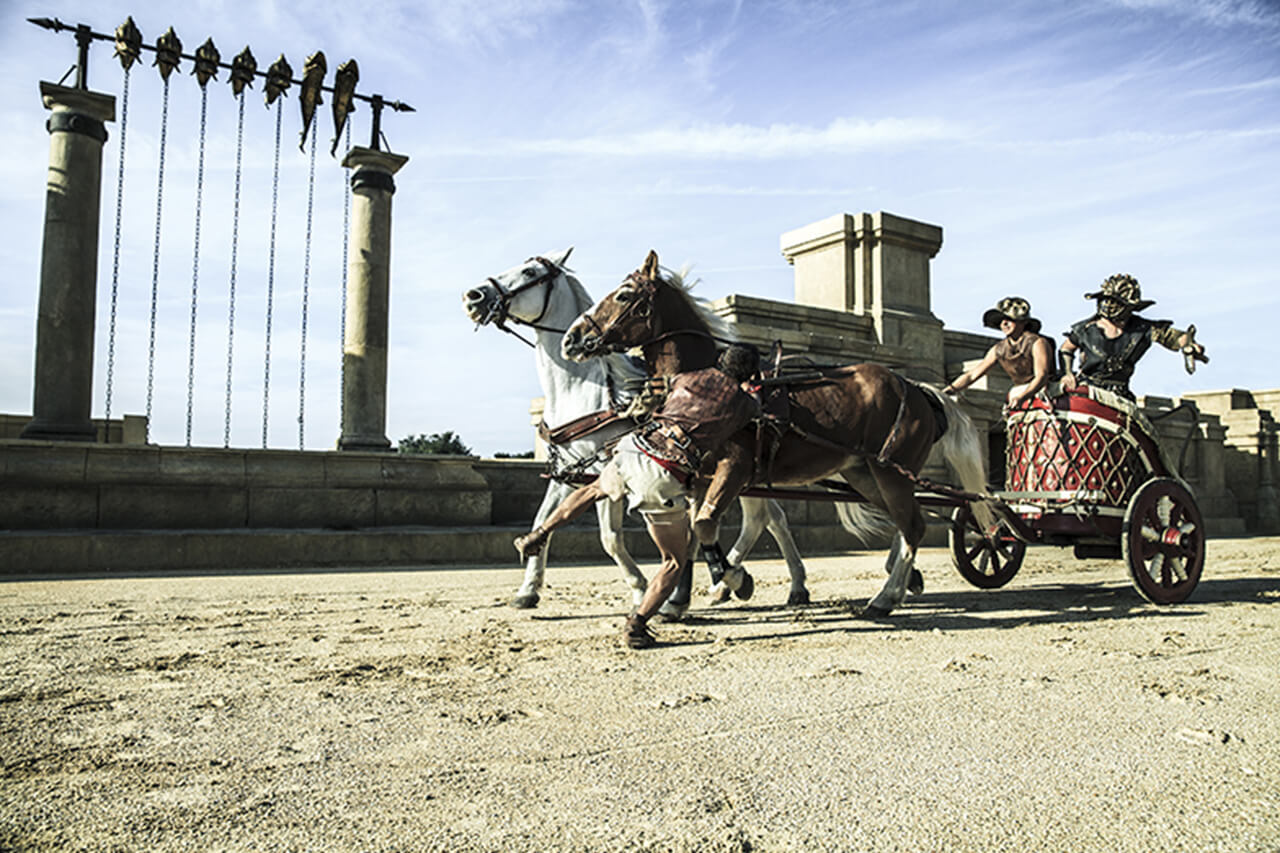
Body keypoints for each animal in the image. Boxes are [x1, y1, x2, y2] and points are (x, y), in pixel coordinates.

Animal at [463, 247, 808, 612]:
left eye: (529, 273)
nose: (473, 296)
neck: (585, 391)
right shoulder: (568, 472)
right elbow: (543, 519)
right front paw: (528, 588)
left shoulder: (605, 469)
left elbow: (610, 538)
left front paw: (641, 588)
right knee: (769, 518)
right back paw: (750, 584)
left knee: (762, 518)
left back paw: (757, 583)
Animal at [565, 249, 993, 614]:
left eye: (623, 295)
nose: (572, 337)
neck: (709, 380)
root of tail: (917, 388)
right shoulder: (698, 479)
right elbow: (695, 534)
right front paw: (688, 595)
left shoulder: (734, 470)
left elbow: (704, 525)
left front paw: (733, 580)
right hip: (866, 474)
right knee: (907, 523)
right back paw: (903, 582)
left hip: (892, 472)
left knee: (914, 525)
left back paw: (886, 596)